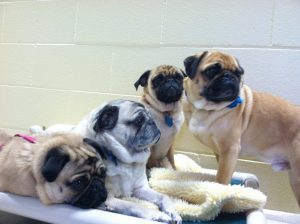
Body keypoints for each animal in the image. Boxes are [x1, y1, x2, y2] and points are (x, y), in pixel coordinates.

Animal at [33, 100, 183, 224]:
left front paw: (172, 212)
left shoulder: (140, 189)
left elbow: (164, 197)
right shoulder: (108, 197)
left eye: (151, 116)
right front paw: (157, 215)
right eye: (139, 120)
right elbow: (135, 205)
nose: (153, 122)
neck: (125, 160)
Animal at [182, 50, 300, 206]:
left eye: (238, 73)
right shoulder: (221, 153)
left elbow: (221, 179)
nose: (229, 76)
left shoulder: (229, 149)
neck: (204, 108)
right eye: (212, 70)